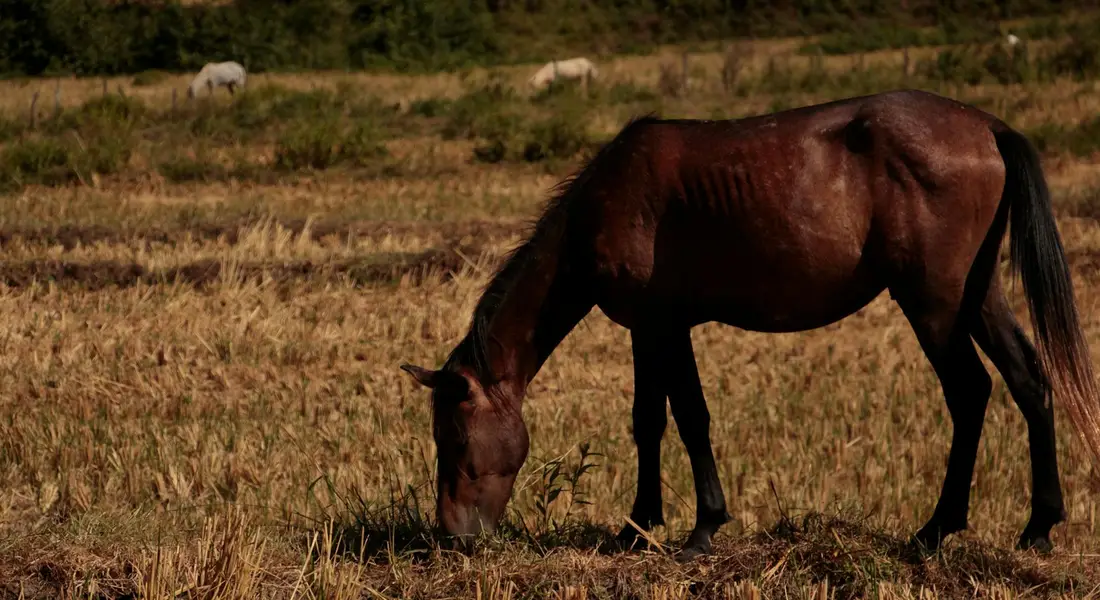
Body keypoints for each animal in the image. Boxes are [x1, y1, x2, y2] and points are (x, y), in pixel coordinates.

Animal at [401, 89, 1100, 561]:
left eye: (454, 440)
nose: (453, 536)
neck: (605, 205)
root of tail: (989, 128)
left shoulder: (664, 325)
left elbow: (688, 417)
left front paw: (702, 527)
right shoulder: (649, 329)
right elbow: (648, 420)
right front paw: (638, 526)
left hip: (934, 301)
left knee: (970, 392)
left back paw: (935, 530)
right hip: (977, 296)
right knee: (1029, 380)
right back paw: (1038, 527)